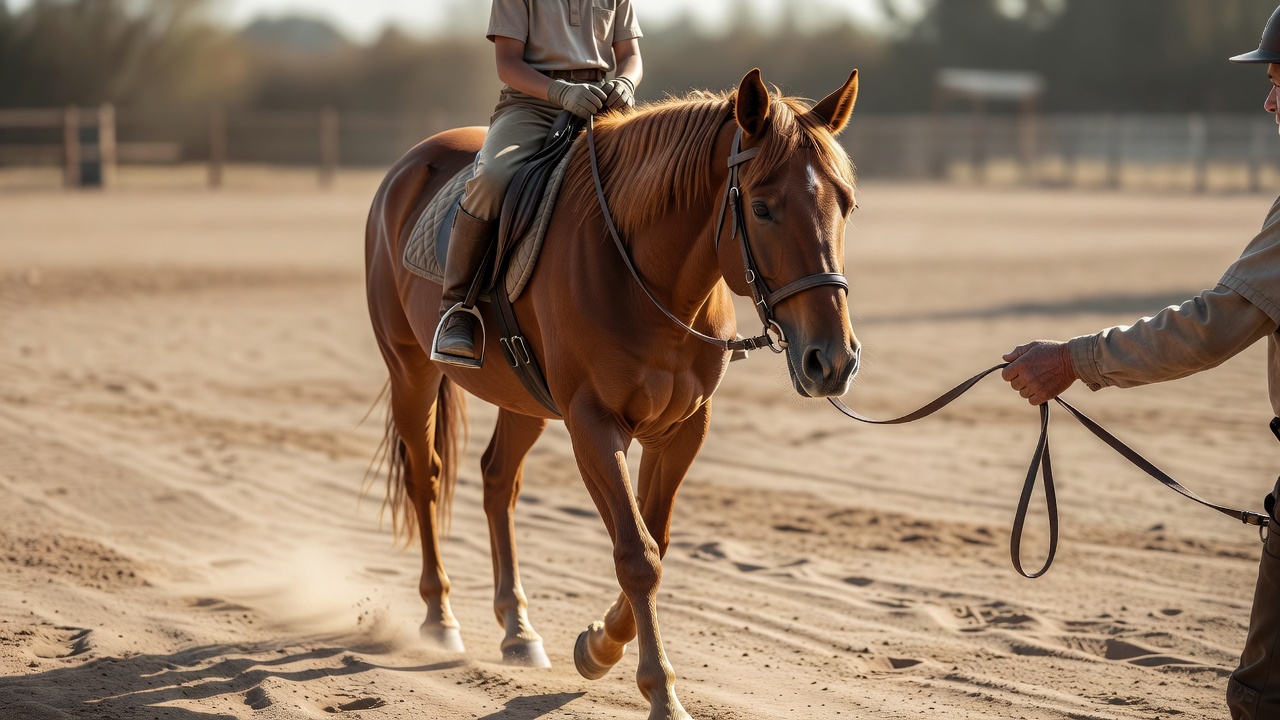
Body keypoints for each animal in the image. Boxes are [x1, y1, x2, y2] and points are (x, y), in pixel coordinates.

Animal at [364, 67, 861, 720]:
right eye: (762, 208)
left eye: (846, 204)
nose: (833, 360)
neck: (649, 279)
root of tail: (406, 169)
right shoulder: (594, 425)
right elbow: (636, 553)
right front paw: (657, 688)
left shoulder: (682, 428)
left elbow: (658, 541)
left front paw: (600, 644)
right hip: (411, 370)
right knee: (425, 478)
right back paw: (439, 618)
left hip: (523, 398)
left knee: (498, 481)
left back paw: (517, 630)